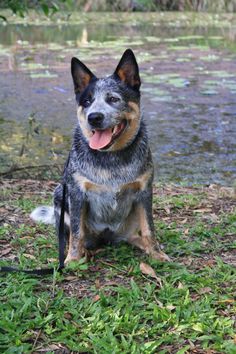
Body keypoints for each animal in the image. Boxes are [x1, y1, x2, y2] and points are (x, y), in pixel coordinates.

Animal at [30, 50, 170, 266]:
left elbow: (149, 229)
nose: (94, 117)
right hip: (60, 193)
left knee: (134, 235)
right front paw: (72, 259)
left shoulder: (144, 192)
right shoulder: (76, 193)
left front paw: (156, 253)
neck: (111, 158)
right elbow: (77, 233)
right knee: (72, 236)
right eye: (87, 102)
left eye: (113, 98)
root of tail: (106, 237)